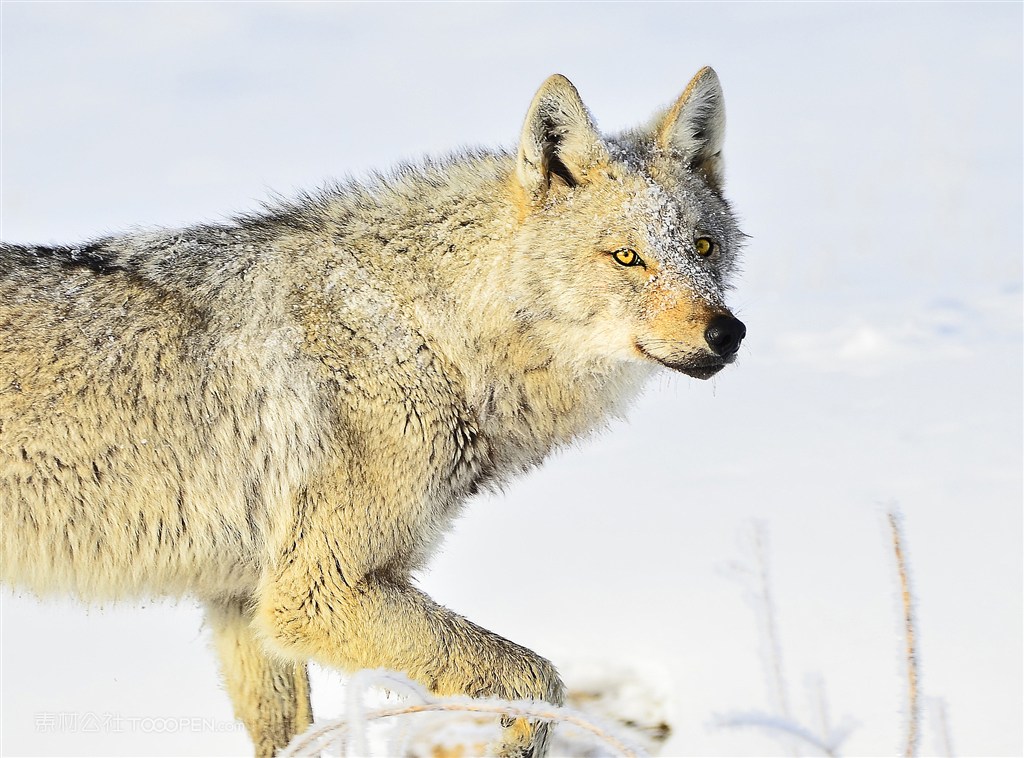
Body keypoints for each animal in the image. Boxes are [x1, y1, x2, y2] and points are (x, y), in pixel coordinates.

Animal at [4, 68, 749, 753]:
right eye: (627, 257)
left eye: (703, 248)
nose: (728, 333)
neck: (429, 333)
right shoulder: (315, 593)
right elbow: (535, 679)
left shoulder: (243, 601)